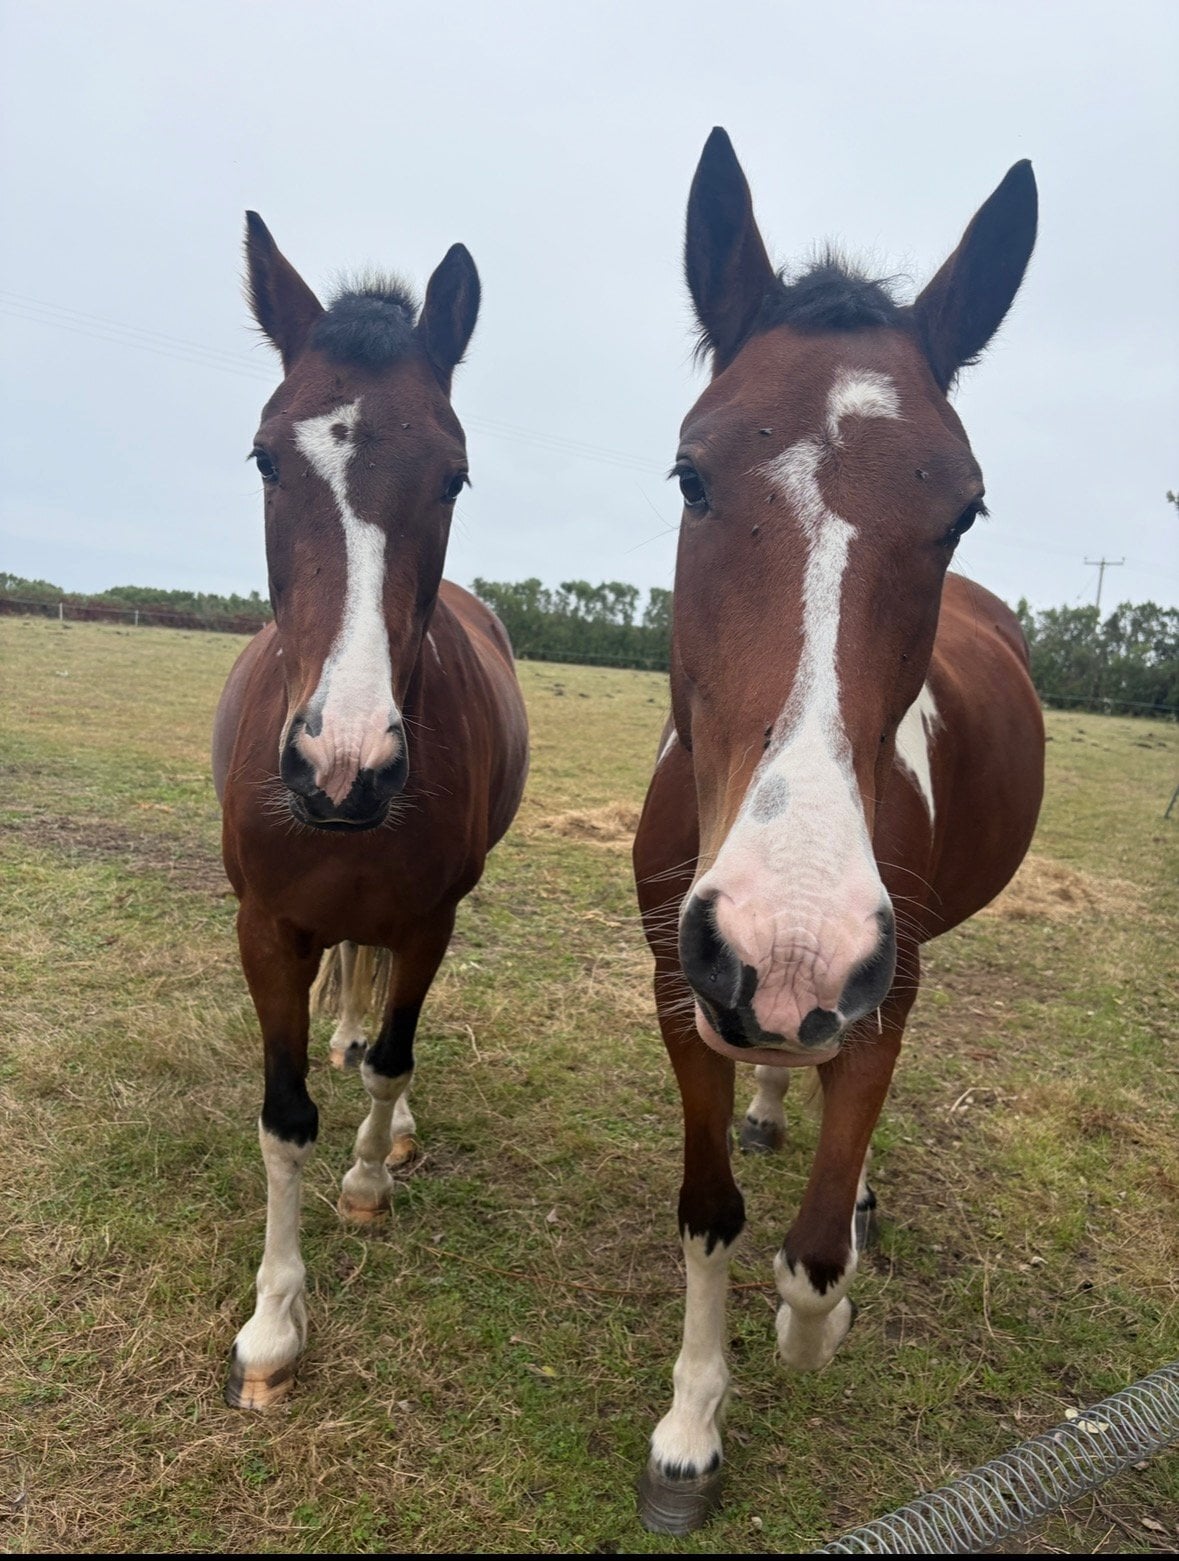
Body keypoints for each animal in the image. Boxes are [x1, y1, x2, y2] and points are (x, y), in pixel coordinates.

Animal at [212, 214, 529, 1411]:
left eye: (454, 474)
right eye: (267, 457)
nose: (342, 766)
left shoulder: (430, 920)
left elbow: (394, 1059)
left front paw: (364, 1178)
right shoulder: (266, 928)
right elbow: (282, 1115)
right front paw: (271, 1326)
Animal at [632, 129, 1043, 1532]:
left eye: (963, 508)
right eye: (691, 474)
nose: (789, 948)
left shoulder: (881, 985)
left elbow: (810, 1260)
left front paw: (820, 1317)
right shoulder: (679, 992)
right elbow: (709, 1215)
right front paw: (690, 1429)